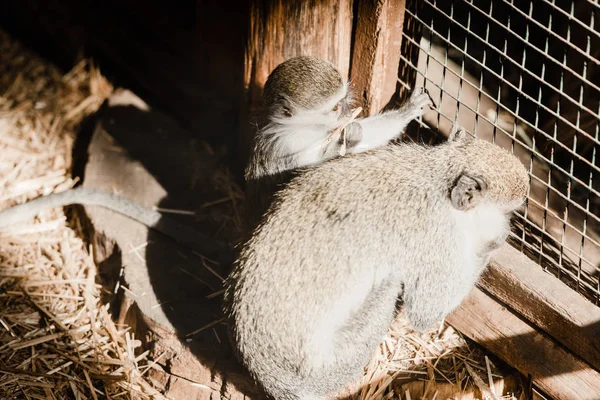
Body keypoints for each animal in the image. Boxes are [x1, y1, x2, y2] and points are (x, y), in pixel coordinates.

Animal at [226, 123, 528, 398]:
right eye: (509, 212)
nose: (509, 224)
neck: (435, 175)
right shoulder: (436, 234)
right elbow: (426, 311)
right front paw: (493, 237)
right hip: (334, 364)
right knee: (391, 284)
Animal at [245, 55, 436, 228]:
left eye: (343, 100)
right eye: (336, 107)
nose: (348, 112)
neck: (301, 128)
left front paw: (408, 110)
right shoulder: (291, 144)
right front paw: (351, 135)